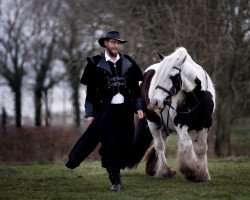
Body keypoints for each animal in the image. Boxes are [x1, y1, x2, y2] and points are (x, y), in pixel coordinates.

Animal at [129, 47, 215, 182]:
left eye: (171, 76)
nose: (154, 102)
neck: (197, 98)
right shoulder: (180, 123)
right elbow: (186, 144)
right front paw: (190, 171)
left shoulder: (205, 125)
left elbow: (201, 148)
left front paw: (202, 175)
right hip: (152, 122)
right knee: (159, 145)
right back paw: (164, 171)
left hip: (165, 126)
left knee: (161, 143)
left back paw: (154, 167)